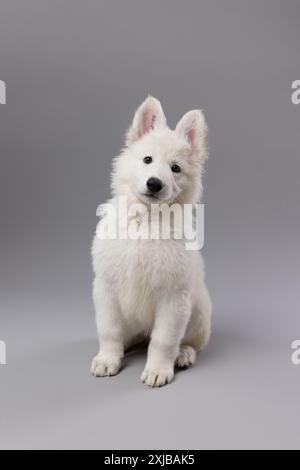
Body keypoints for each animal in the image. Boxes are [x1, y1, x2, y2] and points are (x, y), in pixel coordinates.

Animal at [91, 97, 211, 388]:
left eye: (175, 168)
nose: (154, 183)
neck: (146, 220)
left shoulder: (173, 297)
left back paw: (183, 354)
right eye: (147, 160)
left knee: (189, 342)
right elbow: (109, 330)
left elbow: (163, 340)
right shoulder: (106, 287)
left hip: (199, 311)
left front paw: (158, 369)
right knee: (130, 336)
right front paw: (108, 359)